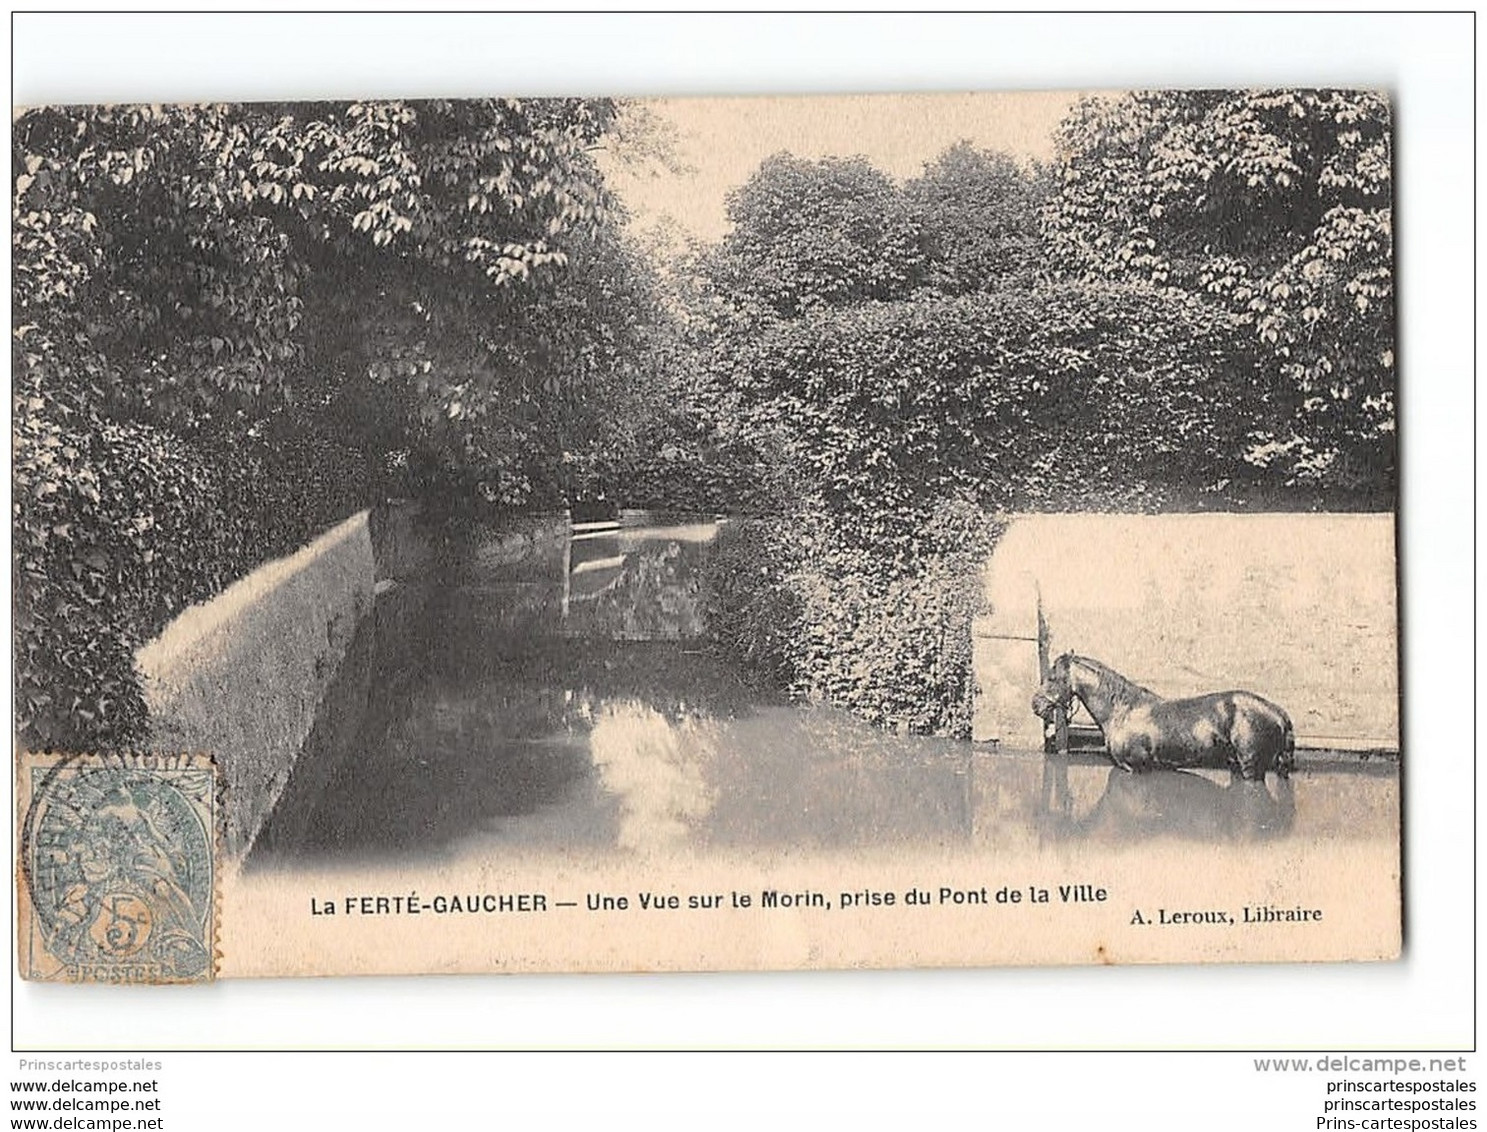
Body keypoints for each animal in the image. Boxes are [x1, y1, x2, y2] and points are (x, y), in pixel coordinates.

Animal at [1029, 648, 1296, 779]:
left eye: (1052, 678)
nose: (1035, 705)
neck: (1121, 711)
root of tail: (1278, 713)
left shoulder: (1134, 768)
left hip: (1251, 767)